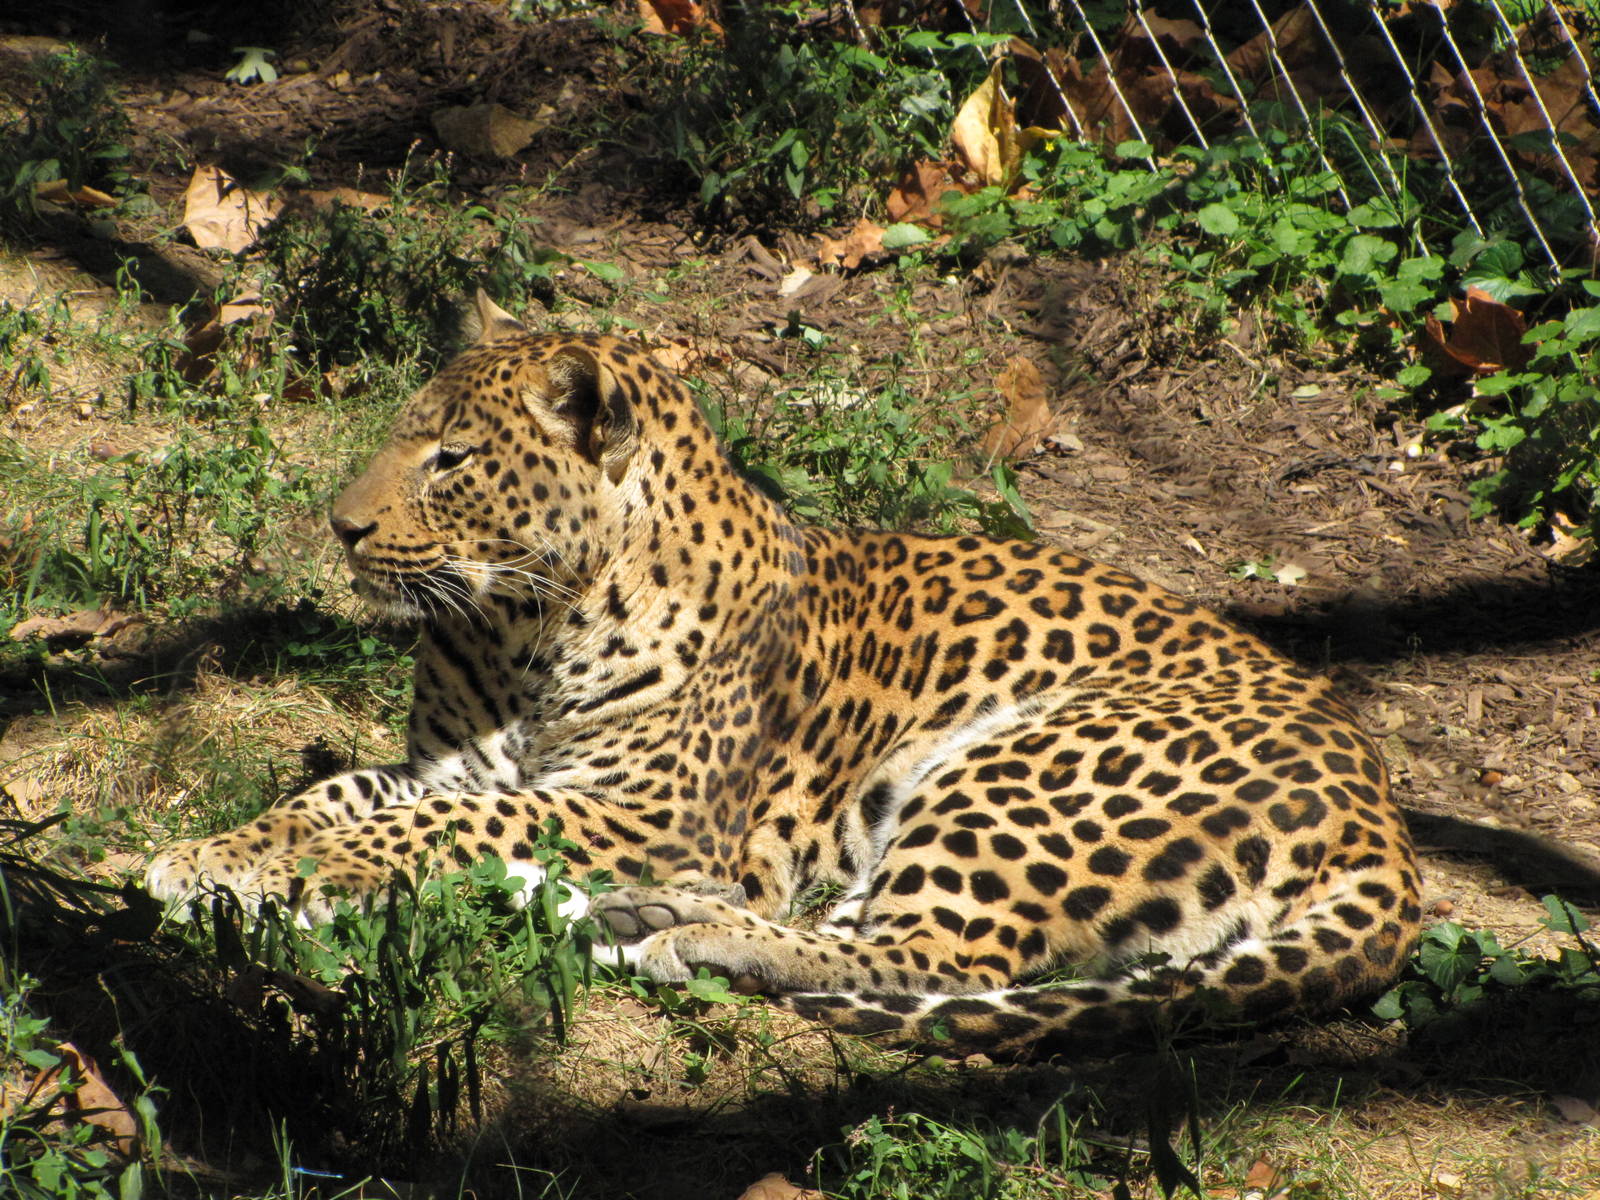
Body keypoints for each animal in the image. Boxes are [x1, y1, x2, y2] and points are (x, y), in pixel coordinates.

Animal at [145, 291, 1422, 1053]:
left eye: (452, 458)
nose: (340, 526)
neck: (519, 629)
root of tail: (1384, 818)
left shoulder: (641, 807)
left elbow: (431, 829)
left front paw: (284, 871)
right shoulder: (449, 766)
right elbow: (340, 797)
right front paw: (222, 855)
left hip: (1027, 765)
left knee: (936, 954)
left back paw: (687, 935)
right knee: (869, 924)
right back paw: (648, 915)